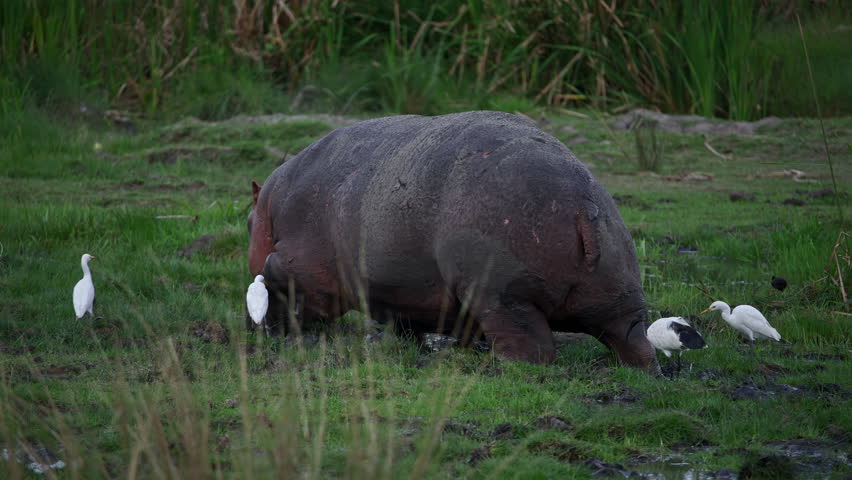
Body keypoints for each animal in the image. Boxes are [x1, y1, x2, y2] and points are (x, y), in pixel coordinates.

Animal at [247, 111, 658, 371]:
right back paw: (639, 371)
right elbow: (409, 319)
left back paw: (499, 365)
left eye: (248, 221)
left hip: (504, 295)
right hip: (619, 291)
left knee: (531, 348)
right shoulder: (406, 290)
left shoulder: (299, 269)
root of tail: (581, 206)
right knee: (632, 337)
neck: (270, 205)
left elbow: (283, 287)